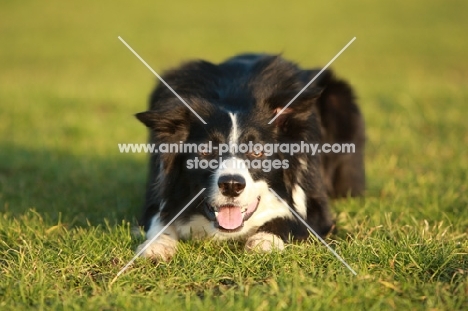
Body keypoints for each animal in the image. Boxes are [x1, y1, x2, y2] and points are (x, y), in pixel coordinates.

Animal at [133, 54, 364, 260]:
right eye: (206, 151)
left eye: (257, 152)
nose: (231, 185)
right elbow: (159, 218)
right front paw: (158, 245)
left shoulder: (316, 203)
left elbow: (295, 218)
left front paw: (265, 239)